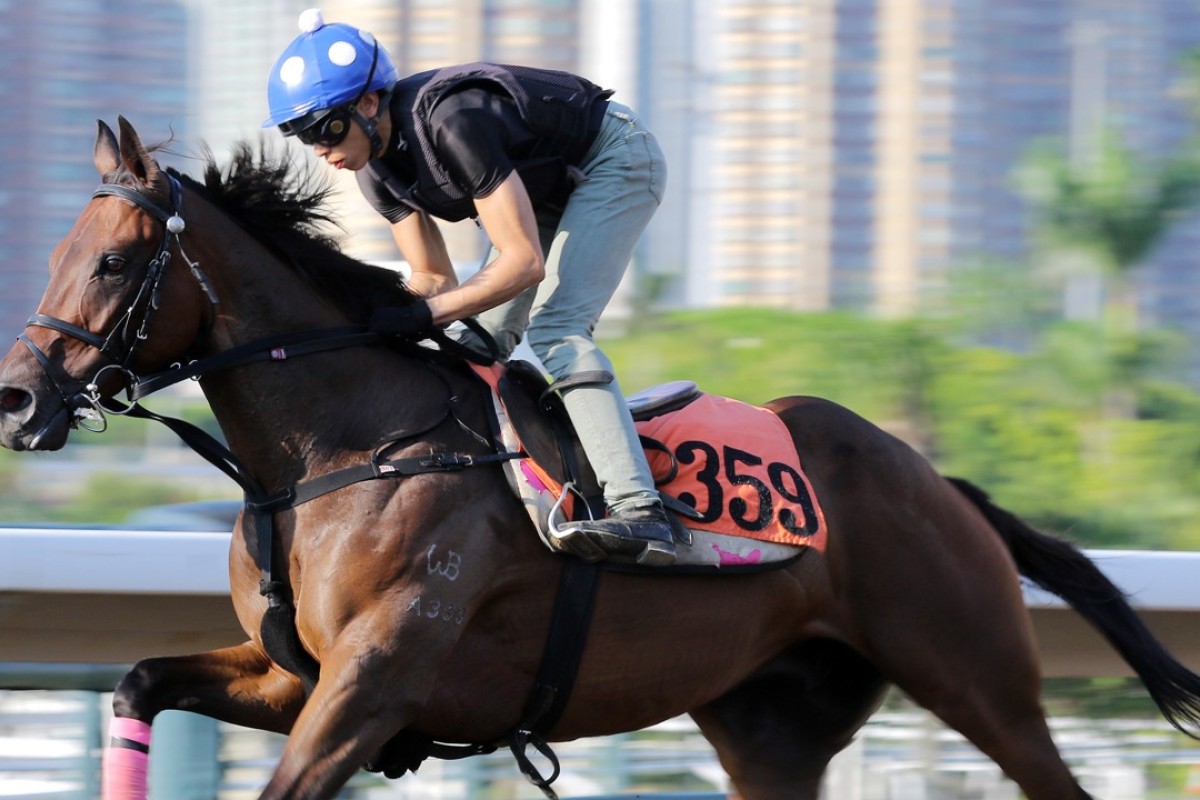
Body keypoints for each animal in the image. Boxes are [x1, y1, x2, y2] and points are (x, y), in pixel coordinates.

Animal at [2, 113, 1200, 800]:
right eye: (59, 250)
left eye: (113, 263)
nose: (19, 398)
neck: (339, 453)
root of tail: (935, 483)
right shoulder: (296, 675)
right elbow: (139, 678)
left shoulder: (374, 679)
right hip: (771, 726)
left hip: (977, 676)